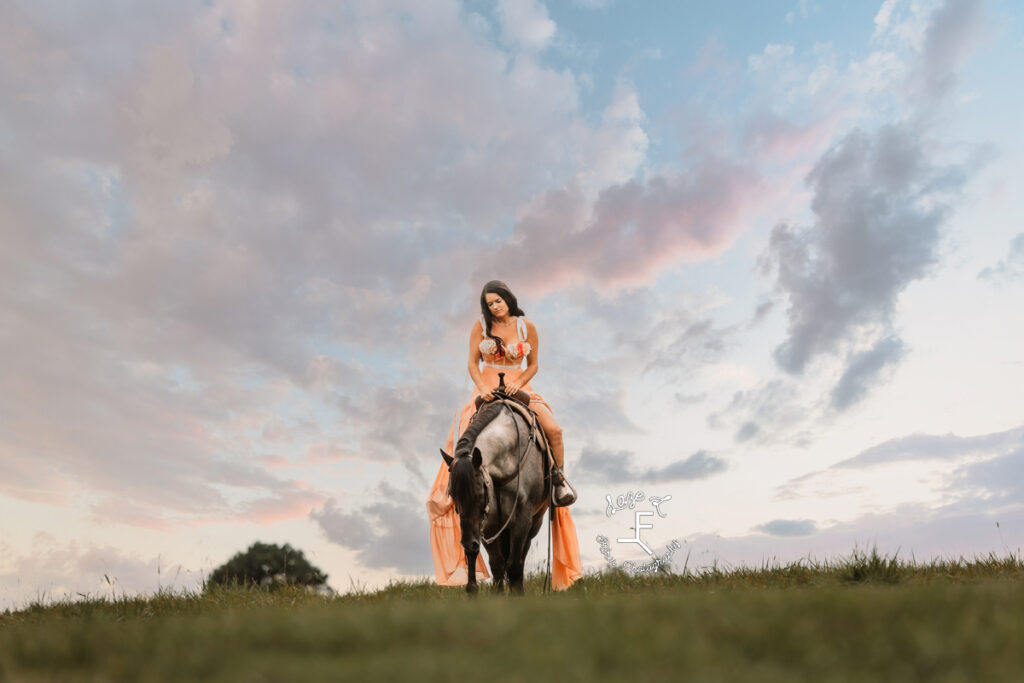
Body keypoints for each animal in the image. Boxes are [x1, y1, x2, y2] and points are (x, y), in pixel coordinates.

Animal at [440, 393, 552, 593]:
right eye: (453, 496)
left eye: (478, 494)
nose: (467, 542)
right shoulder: (489, 522)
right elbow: (496, 564)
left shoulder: (522, 518)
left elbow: (514, 565)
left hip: (535, 521)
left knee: (521, 556)